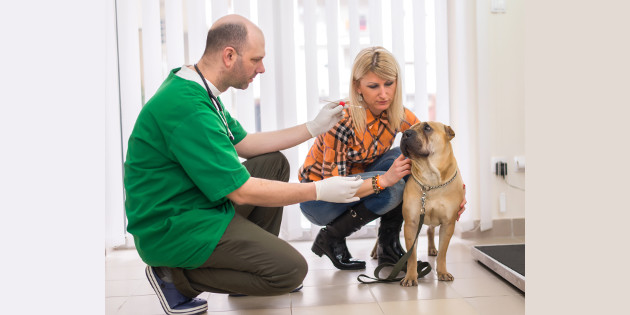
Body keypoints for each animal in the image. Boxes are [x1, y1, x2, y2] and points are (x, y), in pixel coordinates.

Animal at [398, 121, 466, 286]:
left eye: (427, 128)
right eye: (409, 128)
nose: (405, 133)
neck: (431, 179)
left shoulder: (448, 224)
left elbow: (443, 253)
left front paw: (442, 272)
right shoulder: (411, 224)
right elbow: (411, 255)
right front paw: (411, 276)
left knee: (430, 230)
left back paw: (432, 249)